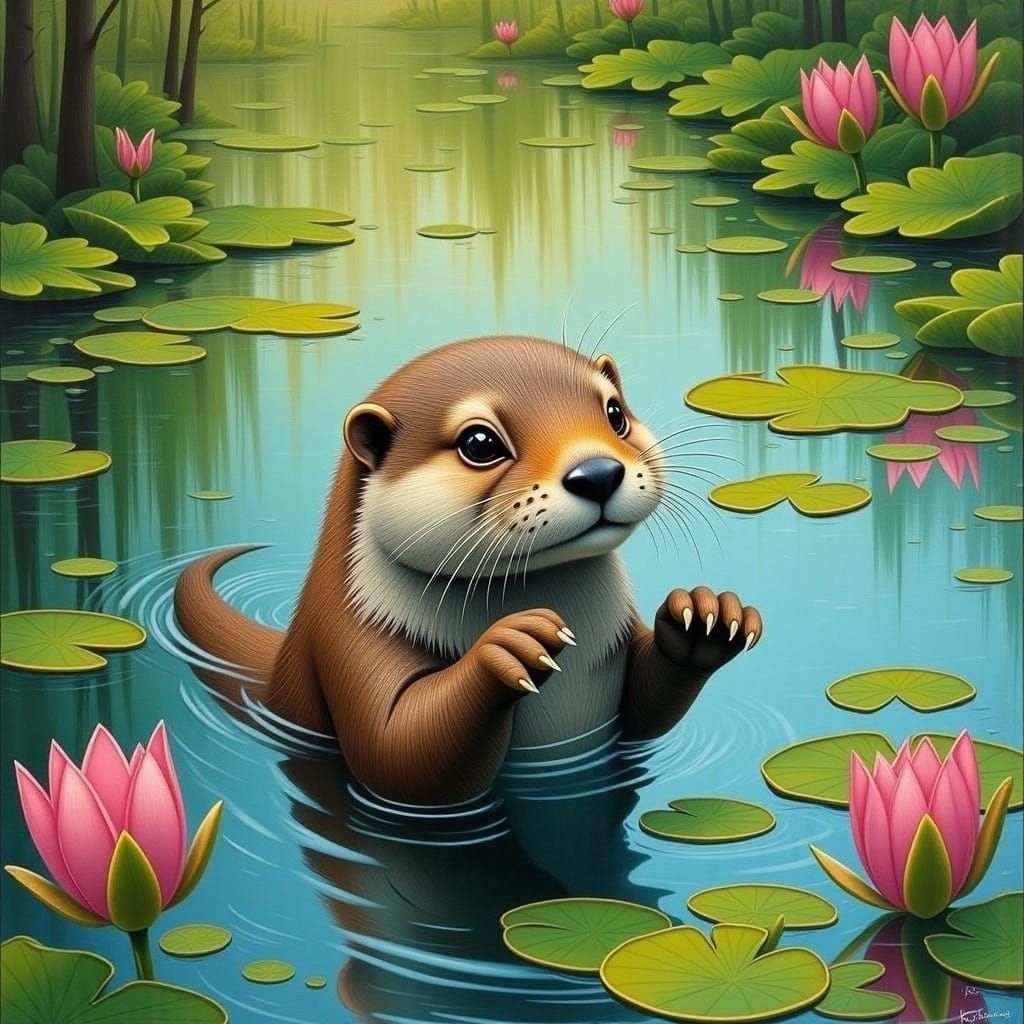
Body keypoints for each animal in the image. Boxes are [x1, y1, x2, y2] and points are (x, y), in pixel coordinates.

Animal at [174, 335, 762, 804]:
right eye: (480, 443)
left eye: (616, 413)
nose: (597, 472)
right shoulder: (350, 647)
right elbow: (397, 756)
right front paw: (511, 644)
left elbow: (645, 711)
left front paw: (703, 616)